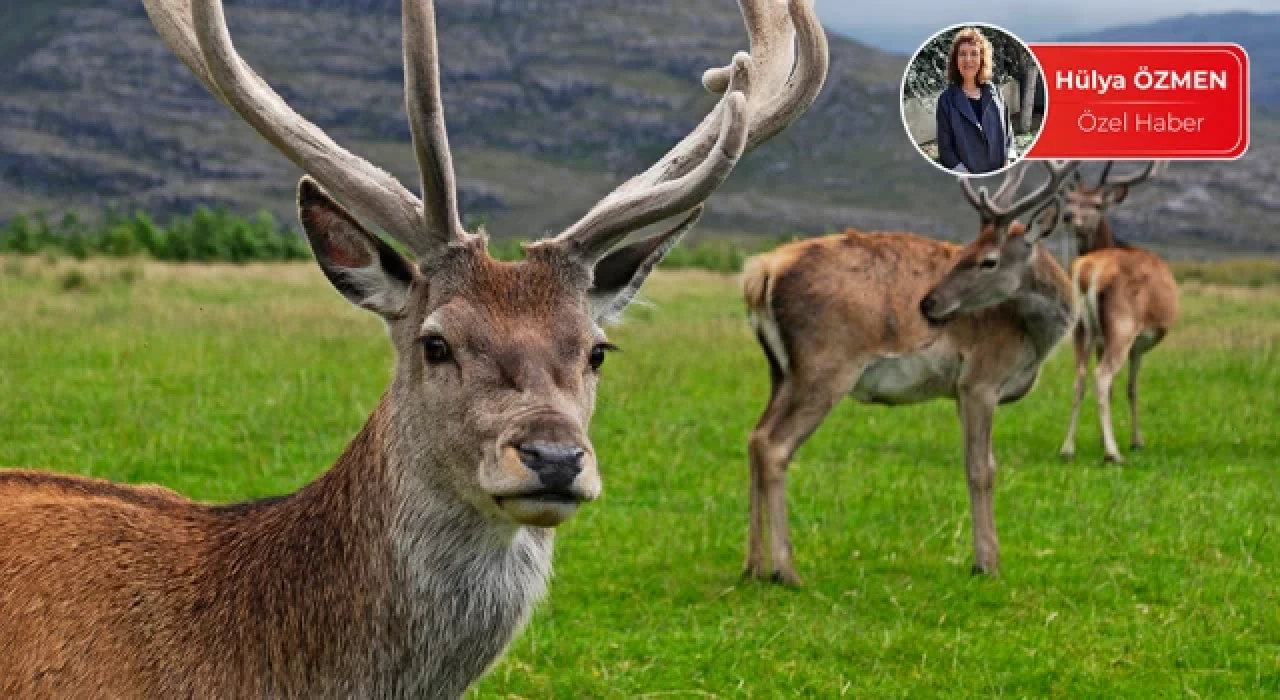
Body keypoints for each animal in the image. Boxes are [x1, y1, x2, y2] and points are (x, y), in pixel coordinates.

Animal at [742, 161, 1080, 583]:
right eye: (967, 251)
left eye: (986, 258)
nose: (928, 303)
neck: (1032, 337)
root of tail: (760, 274)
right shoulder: (979, 380)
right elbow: (981, 468)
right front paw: (986, 563)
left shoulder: (960, 392)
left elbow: (982, 463)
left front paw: (987, 558)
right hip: (824, 366)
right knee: (774, 444)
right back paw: (786, 570)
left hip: (780, 370)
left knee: (755, 436)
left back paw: (753, 566)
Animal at [1059, 161, 1177, 463]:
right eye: (1070, 199)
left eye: (1097, 203)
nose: (1067, 215)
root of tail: (1088, 271)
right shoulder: (1138, 344)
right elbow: (1131, 389)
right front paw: (1136, 441)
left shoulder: (1102, 339)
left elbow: (1116, 390)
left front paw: (1102, 438)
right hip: (1123, 325)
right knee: (1101, 377)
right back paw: (1113, 453)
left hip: (1081, 328)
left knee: (1079, 377)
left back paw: (1067, 448)